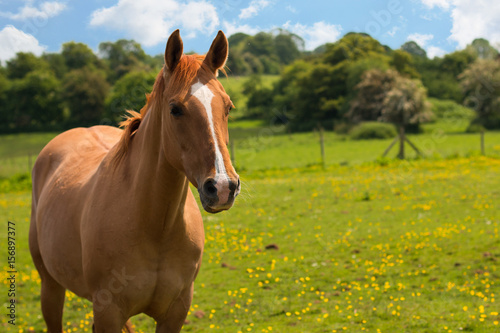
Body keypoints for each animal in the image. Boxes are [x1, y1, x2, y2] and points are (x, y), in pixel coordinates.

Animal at [29, 29, 240, 330]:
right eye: (175, 109)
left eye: (228, 107)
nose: (222, 187)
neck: (155, 227)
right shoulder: (108, 312)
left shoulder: (176, 312)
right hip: (50, 286)